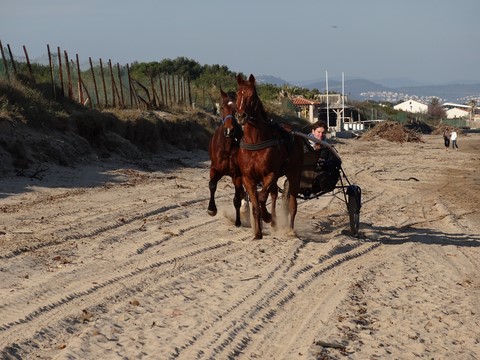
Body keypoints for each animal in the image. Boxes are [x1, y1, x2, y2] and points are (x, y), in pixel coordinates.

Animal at [207, 89, 244, 226]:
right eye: (222, 107)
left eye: (236, 109)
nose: (229, 130)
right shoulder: (215, 169)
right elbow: (212, 185)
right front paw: (211, 209)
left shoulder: (237, 175)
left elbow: (237, 198)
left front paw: (238, 221)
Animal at [236, 74, 304, 239]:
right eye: (237, 94)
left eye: (252, 95)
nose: (241, 116)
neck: (255, 141)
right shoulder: (248, 177)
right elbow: (256, 203)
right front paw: (258, 232)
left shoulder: (270, 174)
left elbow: (261, 198)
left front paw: (267, 216)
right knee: (273, 194)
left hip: (295, 173)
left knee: (292, 203)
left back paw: (289, 229)